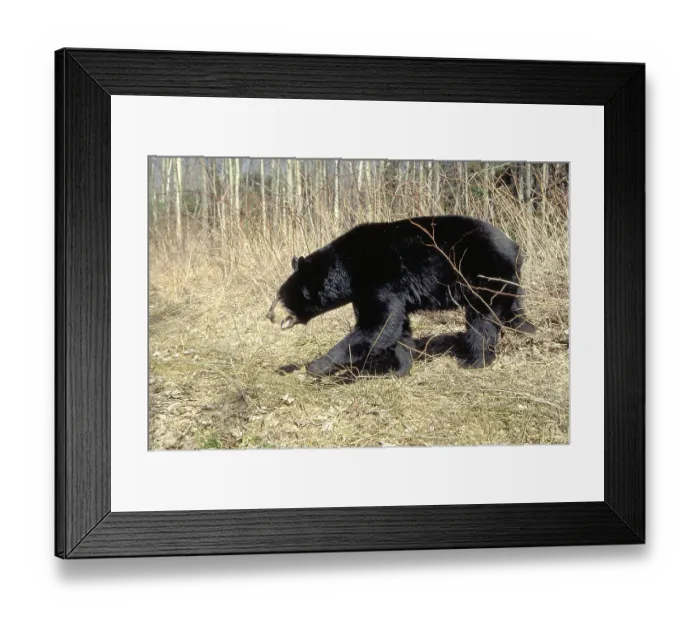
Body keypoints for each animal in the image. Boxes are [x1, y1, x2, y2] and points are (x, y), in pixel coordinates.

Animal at [267, 215, 535, 377]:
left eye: (281, 296)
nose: (269, 315)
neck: (347, 269)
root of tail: (516, 246)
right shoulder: (382, 292)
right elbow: (397, 327)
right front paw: (401, 368)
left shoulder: (378, 279)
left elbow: (377, 325)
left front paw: (316, 365)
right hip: (505, 280)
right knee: (511, 311)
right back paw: (531, 333)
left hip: (482, 271)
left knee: (481, 318)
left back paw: (475, 361)